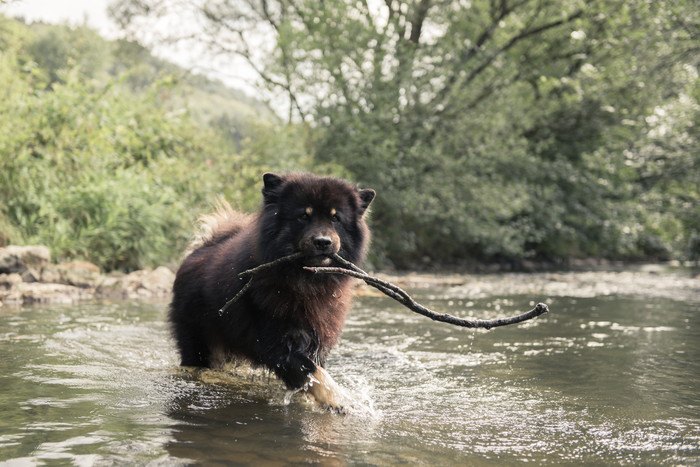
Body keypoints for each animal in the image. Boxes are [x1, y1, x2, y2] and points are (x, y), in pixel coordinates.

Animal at [170, 173, 374, 410]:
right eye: (303, 216)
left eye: (336, 219)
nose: (323, 242)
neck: (305, 281)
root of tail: (202, 247)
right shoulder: (276, 344)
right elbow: (315, 373)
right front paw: (340, 400)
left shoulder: (316, 339)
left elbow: (315, 371)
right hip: (197, 341)